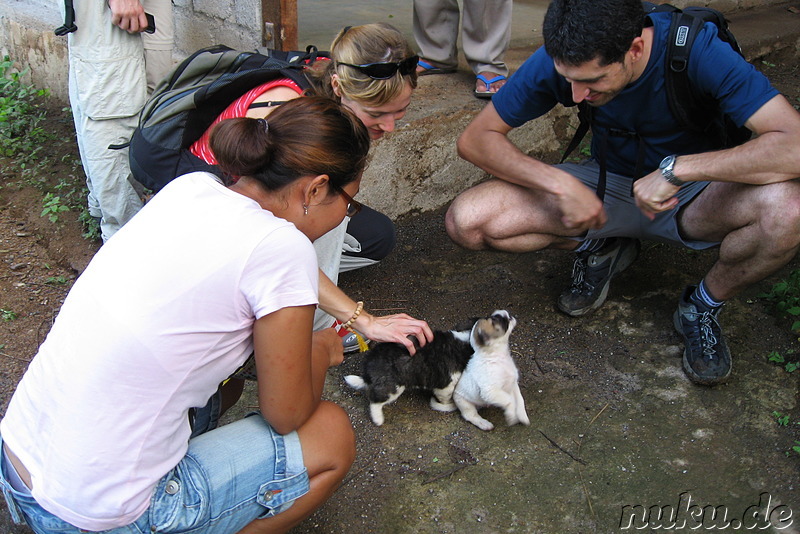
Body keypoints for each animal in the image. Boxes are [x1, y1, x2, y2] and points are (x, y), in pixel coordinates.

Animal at [342, 320, 478, 430]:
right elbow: (445, 398)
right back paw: (378, 419)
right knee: (375, 401)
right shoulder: (446, 385)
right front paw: (448, 404)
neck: (464, 341)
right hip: (393, 388)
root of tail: (370, 364)